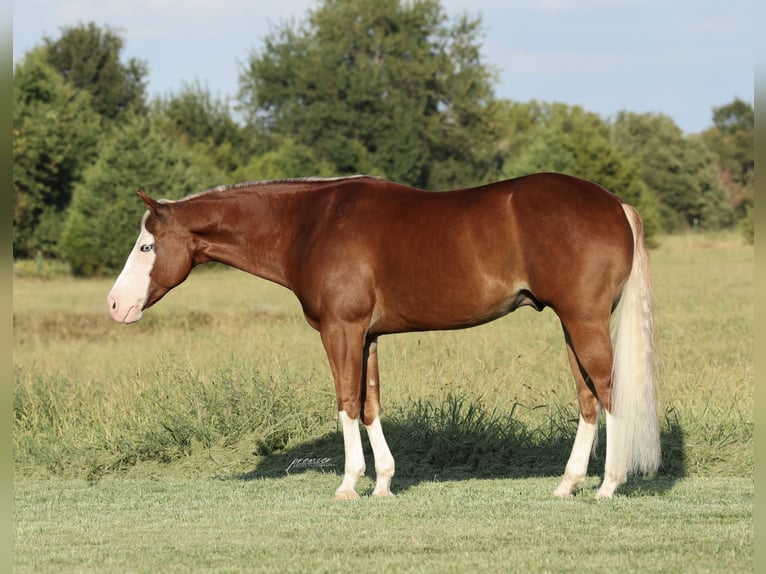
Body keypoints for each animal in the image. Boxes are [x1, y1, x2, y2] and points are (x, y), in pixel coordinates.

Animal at [107, 172, 660, 499]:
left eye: (146, 246)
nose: (115, 305)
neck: (311, 224)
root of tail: (615, 204)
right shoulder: (367, 336)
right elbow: (370, 404)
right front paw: (384, 484)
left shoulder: (340, 330)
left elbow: (345, 402)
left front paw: (350, 483)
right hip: (570, 325)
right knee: (588, 400)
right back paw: (568, 484)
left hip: (584, 322)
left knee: (610, 393)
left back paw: (609, 486)